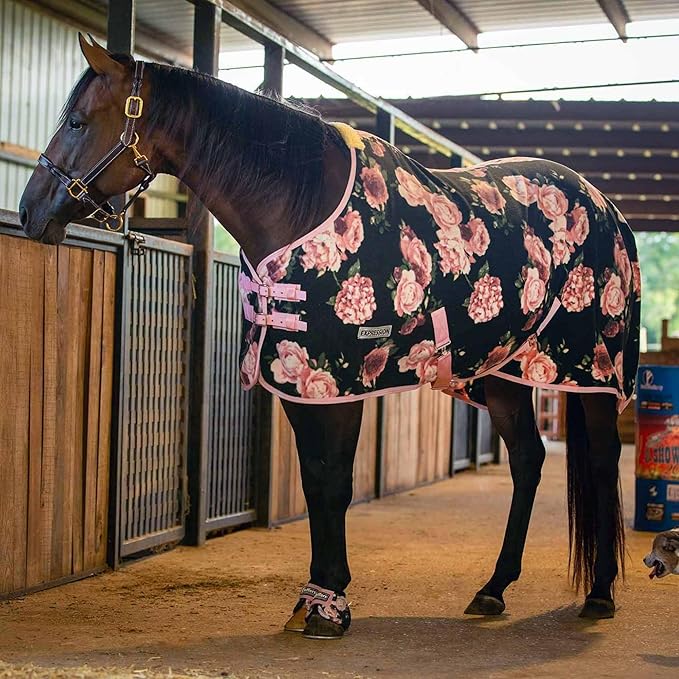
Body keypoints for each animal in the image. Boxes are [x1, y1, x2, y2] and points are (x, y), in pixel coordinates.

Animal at [19, 35, 640, 640]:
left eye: (78, 122)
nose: (29, 211)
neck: (302, 201)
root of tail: (608, 208)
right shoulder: (302, 383)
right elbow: (317, 481)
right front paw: (316, 598)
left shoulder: (341, 380)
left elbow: (336, 482)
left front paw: (329, 605)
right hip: (507, 372)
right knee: (529, 460)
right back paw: (494, 588)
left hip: (595, 372)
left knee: (603, 461)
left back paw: (601, 593)